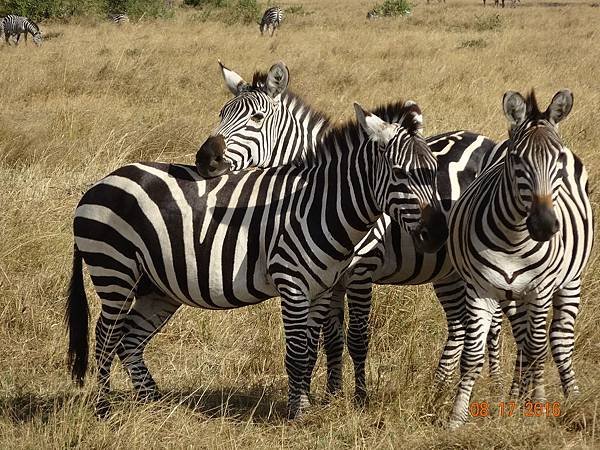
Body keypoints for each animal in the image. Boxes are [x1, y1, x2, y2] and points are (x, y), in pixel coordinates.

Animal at [67, 85, 446, 418]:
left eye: (434, 171)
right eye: (399, 172)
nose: (439, 233)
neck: (319, 206)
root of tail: (99, 184)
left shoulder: (322, 289)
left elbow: (312, 348)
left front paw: (306, 402)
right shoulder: (292, 283)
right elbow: (297, 351)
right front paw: (298, 413)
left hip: (156, 287)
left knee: (129, 339)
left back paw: (154, 403)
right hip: (114, 269)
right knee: (105, 336)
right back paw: (104, 409)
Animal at [448, 89, 592, 428]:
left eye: (558, 159)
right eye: (516, 159)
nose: (544, 226)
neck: (514, 239)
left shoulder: (540, 290)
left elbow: (538, 348)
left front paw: (537, 406)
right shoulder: (481, 291)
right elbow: (472, 356)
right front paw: (457, 416)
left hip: (570, 282)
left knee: (556, 340)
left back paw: (570, 397)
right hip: (512, 295)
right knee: (522, 337)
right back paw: (515, 396)